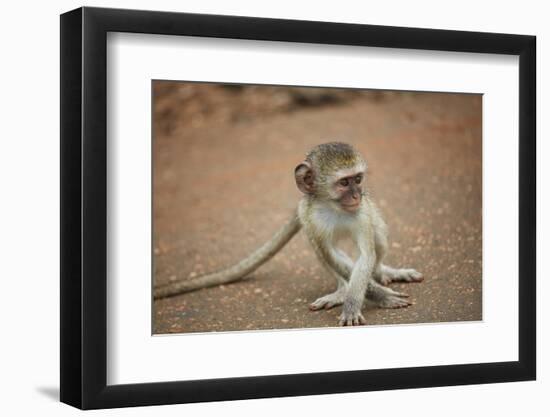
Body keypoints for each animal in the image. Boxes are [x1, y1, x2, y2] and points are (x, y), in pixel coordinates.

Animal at [155, 142, 422, 324]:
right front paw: (372, 297)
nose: (358, 195)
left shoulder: (362, 214)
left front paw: (359, 302)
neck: (332, 207)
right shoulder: (309, 216)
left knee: (378, 241)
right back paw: (342, 291)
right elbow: (330, 253)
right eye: (344, 183)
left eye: (358, 179)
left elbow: (366, 255)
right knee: (320, 249)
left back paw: (382, 272)